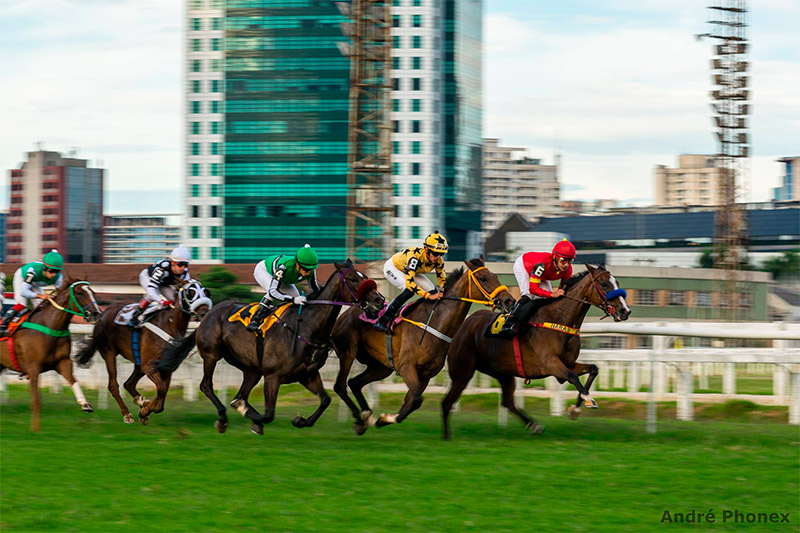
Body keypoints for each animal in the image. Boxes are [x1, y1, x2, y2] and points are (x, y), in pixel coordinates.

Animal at [0, 276, 103, 430]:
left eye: (92, 292)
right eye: (80, 293)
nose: (97, 313)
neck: (50, 327)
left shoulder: (63, 362)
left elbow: (74, 381)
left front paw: (85, 404)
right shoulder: (33, 367)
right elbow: (36, 400)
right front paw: (35, 429)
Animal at [74, 278, 212, 424]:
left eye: (206, 292)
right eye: (190, 292)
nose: (204, 313)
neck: (168, 324)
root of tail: (102, 315)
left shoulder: (167, 367)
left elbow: (162, 397)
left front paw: (145, 408)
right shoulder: (149, 366)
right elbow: (161, 390)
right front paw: (145, 410)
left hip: (138, 363)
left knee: (128, 384)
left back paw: (140, 401)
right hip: (109, 353)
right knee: (113, 385)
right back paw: (127, 414)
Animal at [157, 260, 384, 434]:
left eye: (365, 276)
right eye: (353, 279)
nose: (379, 299)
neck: (306, 327)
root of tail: (207, 315)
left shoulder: (307, 375)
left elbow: (325, 400)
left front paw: (301, 421)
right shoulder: (273, 376)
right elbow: (268, 414)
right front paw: (253, 419)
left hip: (252, 369)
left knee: (240, 394)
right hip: (212, 354)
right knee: (207, 386)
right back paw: (223, 418)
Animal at [328, 258, 516, 436]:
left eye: (496, 276)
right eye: (483, 278)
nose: (509, 300)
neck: (433, 322)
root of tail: (344, 314)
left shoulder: (425, 375)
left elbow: (411, 402)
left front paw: (383, 419)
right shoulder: (407, 368)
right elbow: (416, 400)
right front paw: (384, 418)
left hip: (381, 366)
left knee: (355, 382)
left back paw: (365, 419)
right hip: (348, 353)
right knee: (341, 385)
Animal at [440, 264, 636, 438]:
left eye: (617, 282)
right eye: (603, 284)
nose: (625, 311)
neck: (559, 319)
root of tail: (464, 323)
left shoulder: (568, 363)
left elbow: (593, 369)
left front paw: (575, 409)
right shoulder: (550, 364)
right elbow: (573, 377)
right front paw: (588, 400)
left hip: (501, 371)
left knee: (507, 401)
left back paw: (534, 425)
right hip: (463, 371)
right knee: (447, 401)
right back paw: (446, 437)